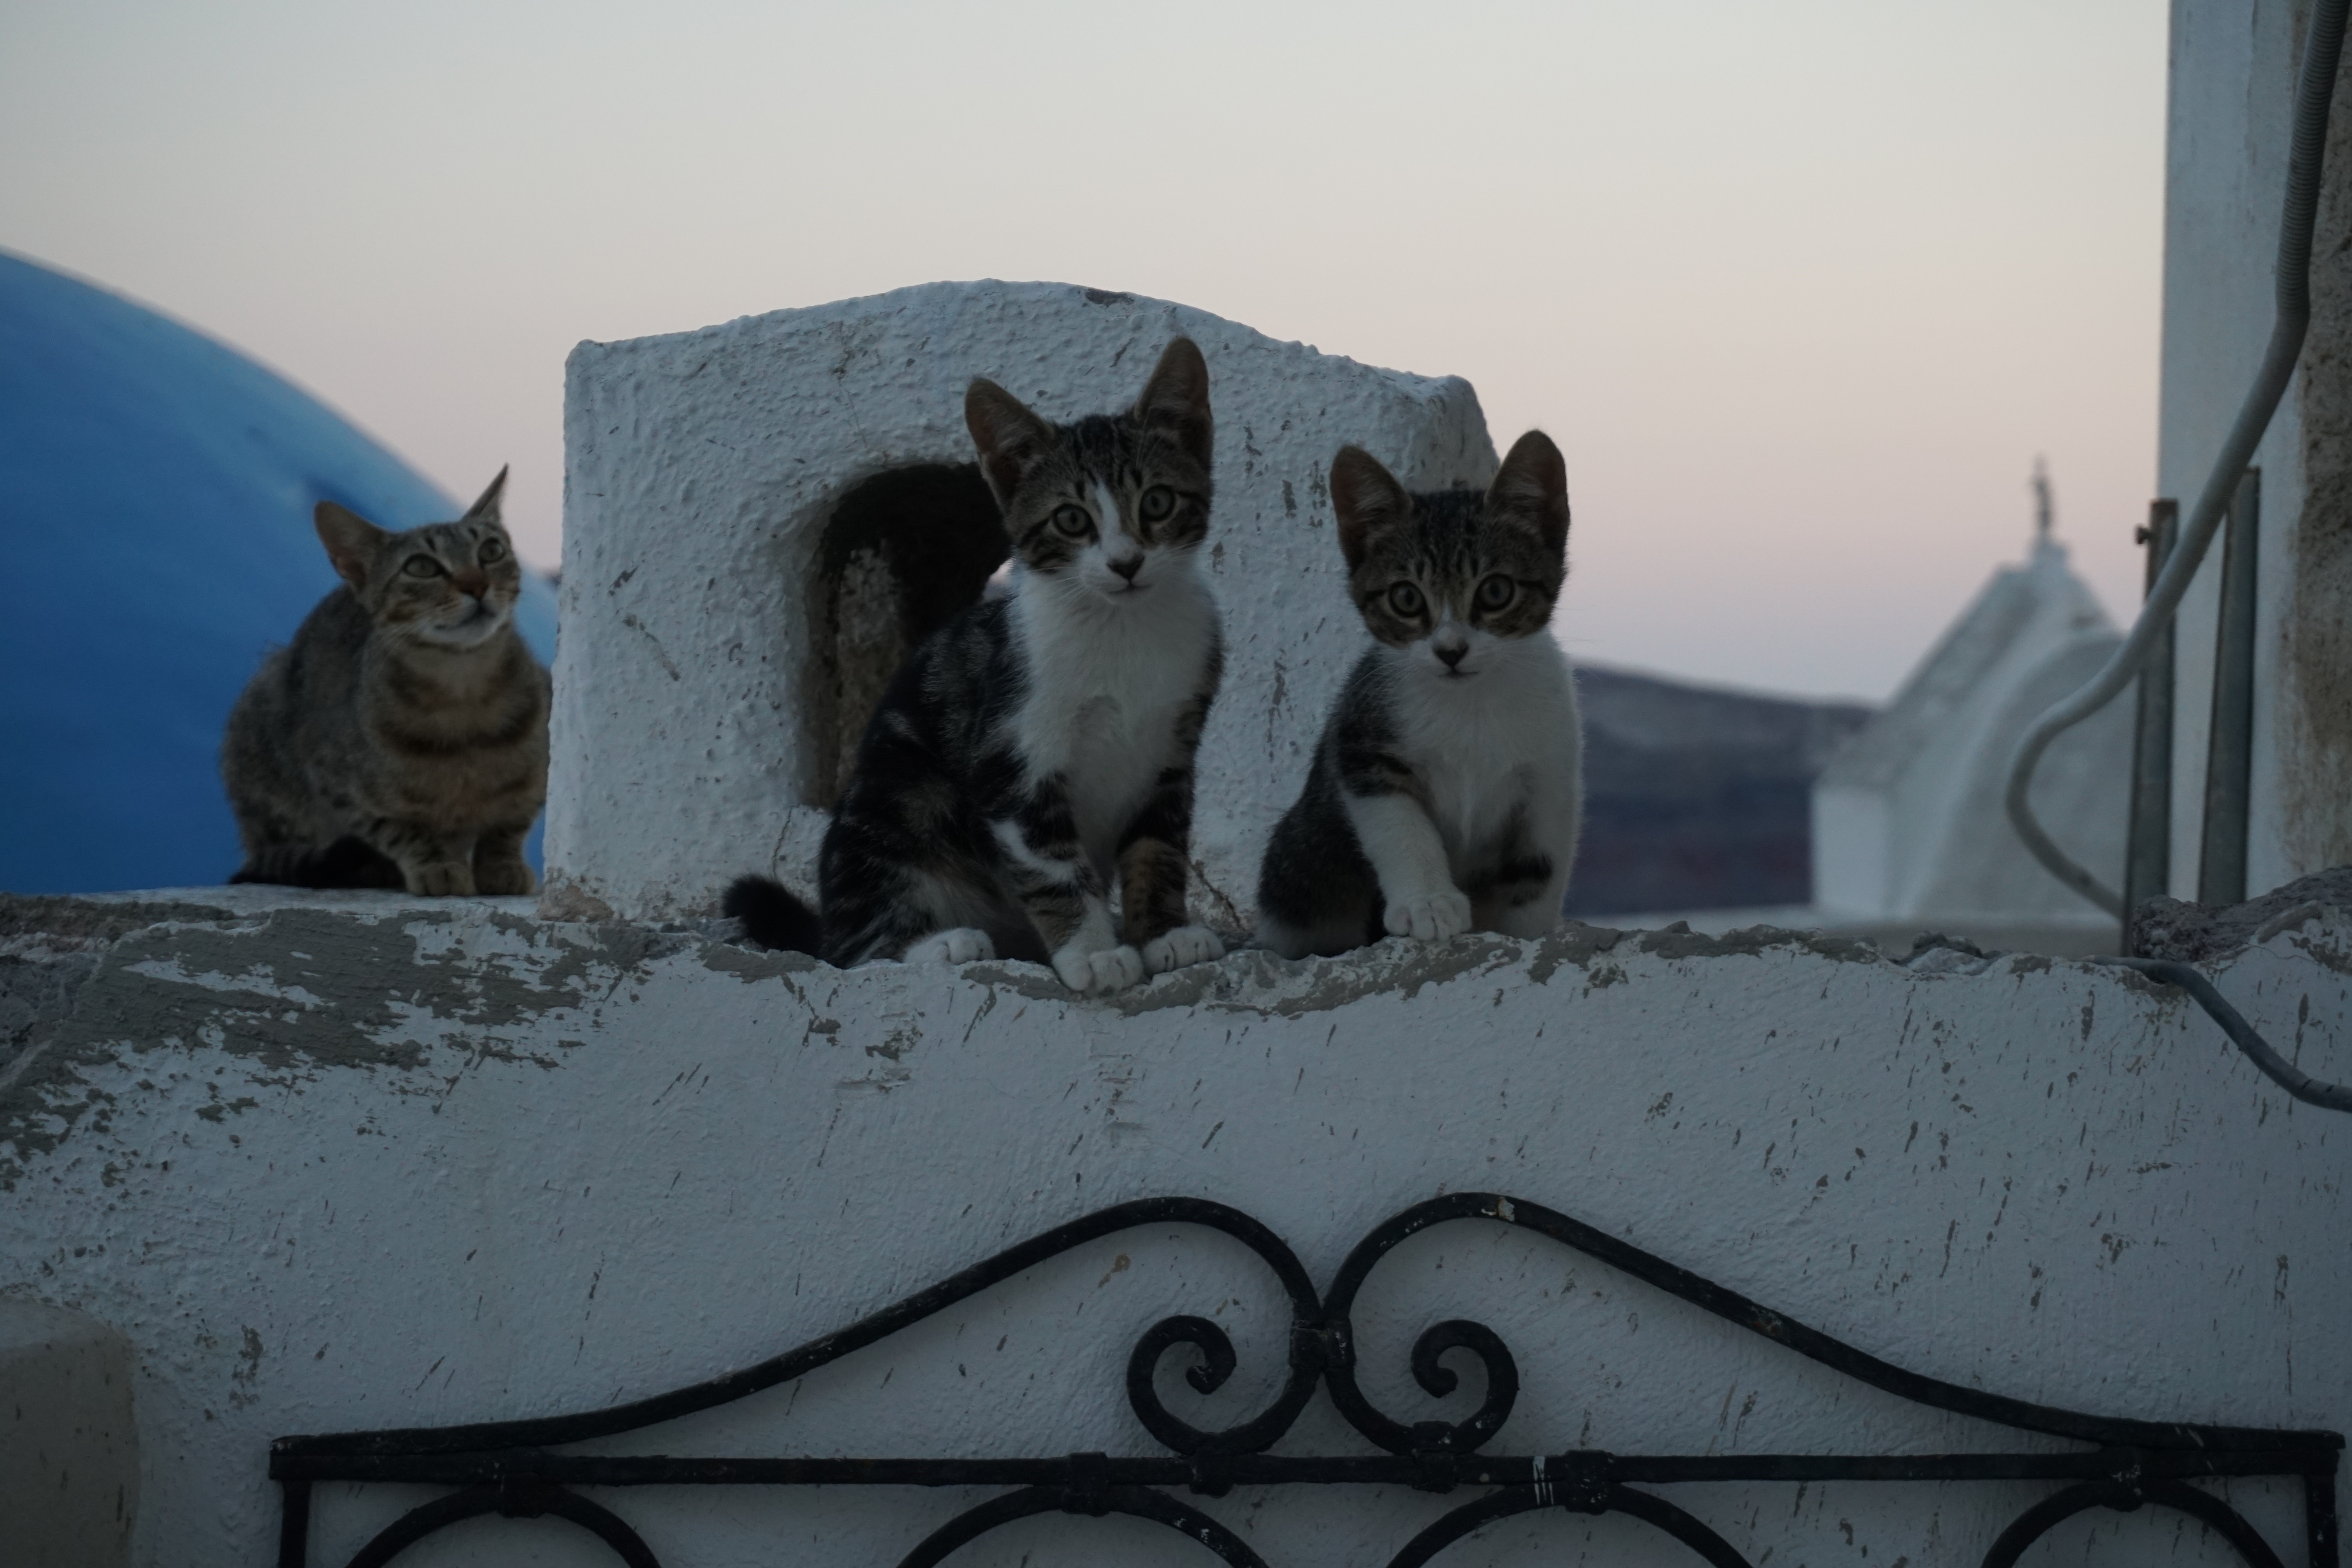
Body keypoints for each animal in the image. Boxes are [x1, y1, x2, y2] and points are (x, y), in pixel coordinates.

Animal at [221, 470, 550, 893]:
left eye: (492, 551)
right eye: (422, 567)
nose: (477, 585)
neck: (464, 694)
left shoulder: (539, 774)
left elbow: (509, 823)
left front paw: (502, 865)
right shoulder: (337, 785)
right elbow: (399, 830)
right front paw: (435, 865)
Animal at [724, 338, 1223, 992]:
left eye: (1158, 502)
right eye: (1071, 519)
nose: (1126, 563)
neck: (1123, 627)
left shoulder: (1172, 749)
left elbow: (1158, 847)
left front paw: (1163, 935)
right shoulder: (1011, 752)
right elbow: (1054, 864)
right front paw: (1093, 953)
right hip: (900, 794)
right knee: (853, 948)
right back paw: (938, 943)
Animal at [1251, 434, 1581, 964]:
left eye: (1495, 590)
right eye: (1406, 598)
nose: (1450, 650)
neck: (1469, 705)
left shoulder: (1549, 777)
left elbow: (1536, 871)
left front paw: (1529, 938)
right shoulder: (1361, 741)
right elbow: (1398, 824)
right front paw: (1429, 901)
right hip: (1303, 858)